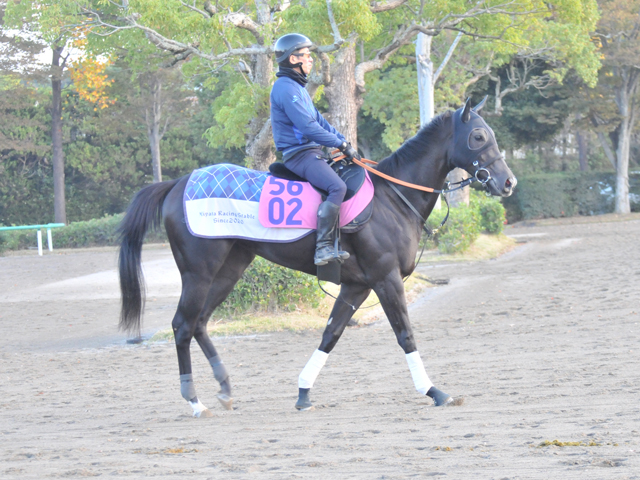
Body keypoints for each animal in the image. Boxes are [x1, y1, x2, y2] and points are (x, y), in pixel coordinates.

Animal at [118, 99, 517, 417]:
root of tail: (178, 184)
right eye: (478, 136)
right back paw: (194, 401)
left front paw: (303, 391)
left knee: (199, 323)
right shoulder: (385, 279)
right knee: (183, 326)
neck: (392, 197)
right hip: (198, 274)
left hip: (229, 271)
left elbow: (331, 333)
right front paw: (434, 391)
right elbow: (405, 334)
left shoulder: (356, 286)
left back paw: (225, 389)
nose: (508, 182)